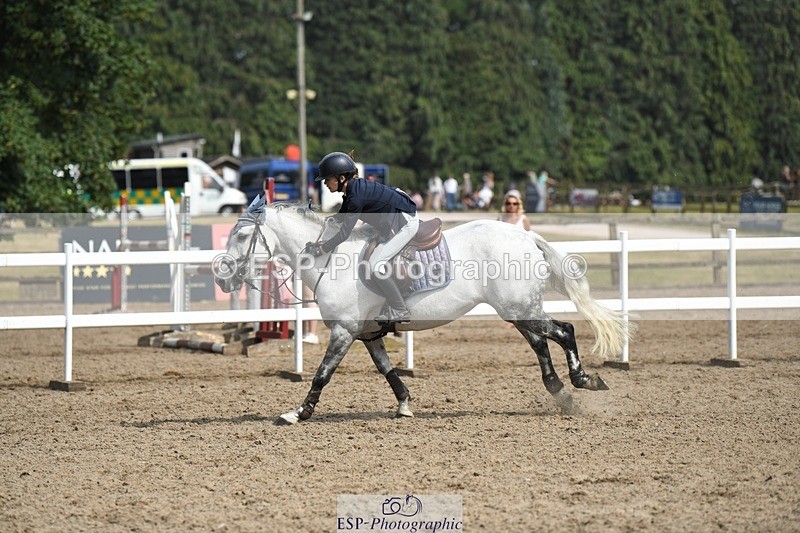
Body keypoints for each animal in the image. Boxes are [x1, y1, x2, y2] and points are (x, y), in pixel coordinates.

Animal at [214, 198, 632, 425]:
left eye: (241, 235)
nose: (222, 277)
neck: (330, 258)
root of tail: (525, 235)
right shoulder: (366, 333)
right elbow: (387, 370)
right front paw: (404, 405)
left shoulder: (344, 331)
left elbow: (321, 375)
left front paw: (297, 413)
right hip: (518, 310)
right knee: (541, 343)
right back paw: (561, 394)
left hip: (520, 308)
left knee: (563, 331)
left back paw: (584, 380)